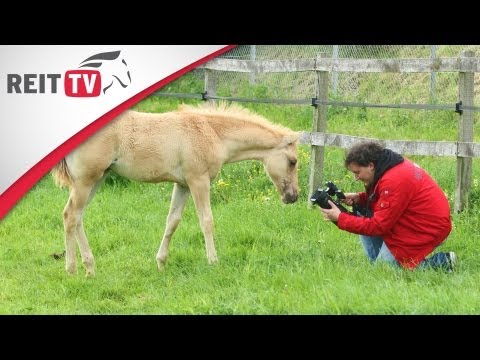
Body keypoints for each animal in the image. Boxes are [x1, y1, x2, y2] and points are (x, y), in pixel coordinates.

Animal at [53, 102, 300, 278]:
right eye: (293, 161)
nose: (293, 197)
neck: (212, 133)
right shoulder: (198, 181)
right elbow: (206, 220)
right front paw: (213, 261)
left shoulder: (182, 184)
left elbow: (172, 221)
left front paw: (161, 263)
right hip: (86, 181)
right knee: (70, 215)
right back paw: (72, 270)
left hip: (96, 179)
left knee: (77, 217)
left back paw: (89, 268)